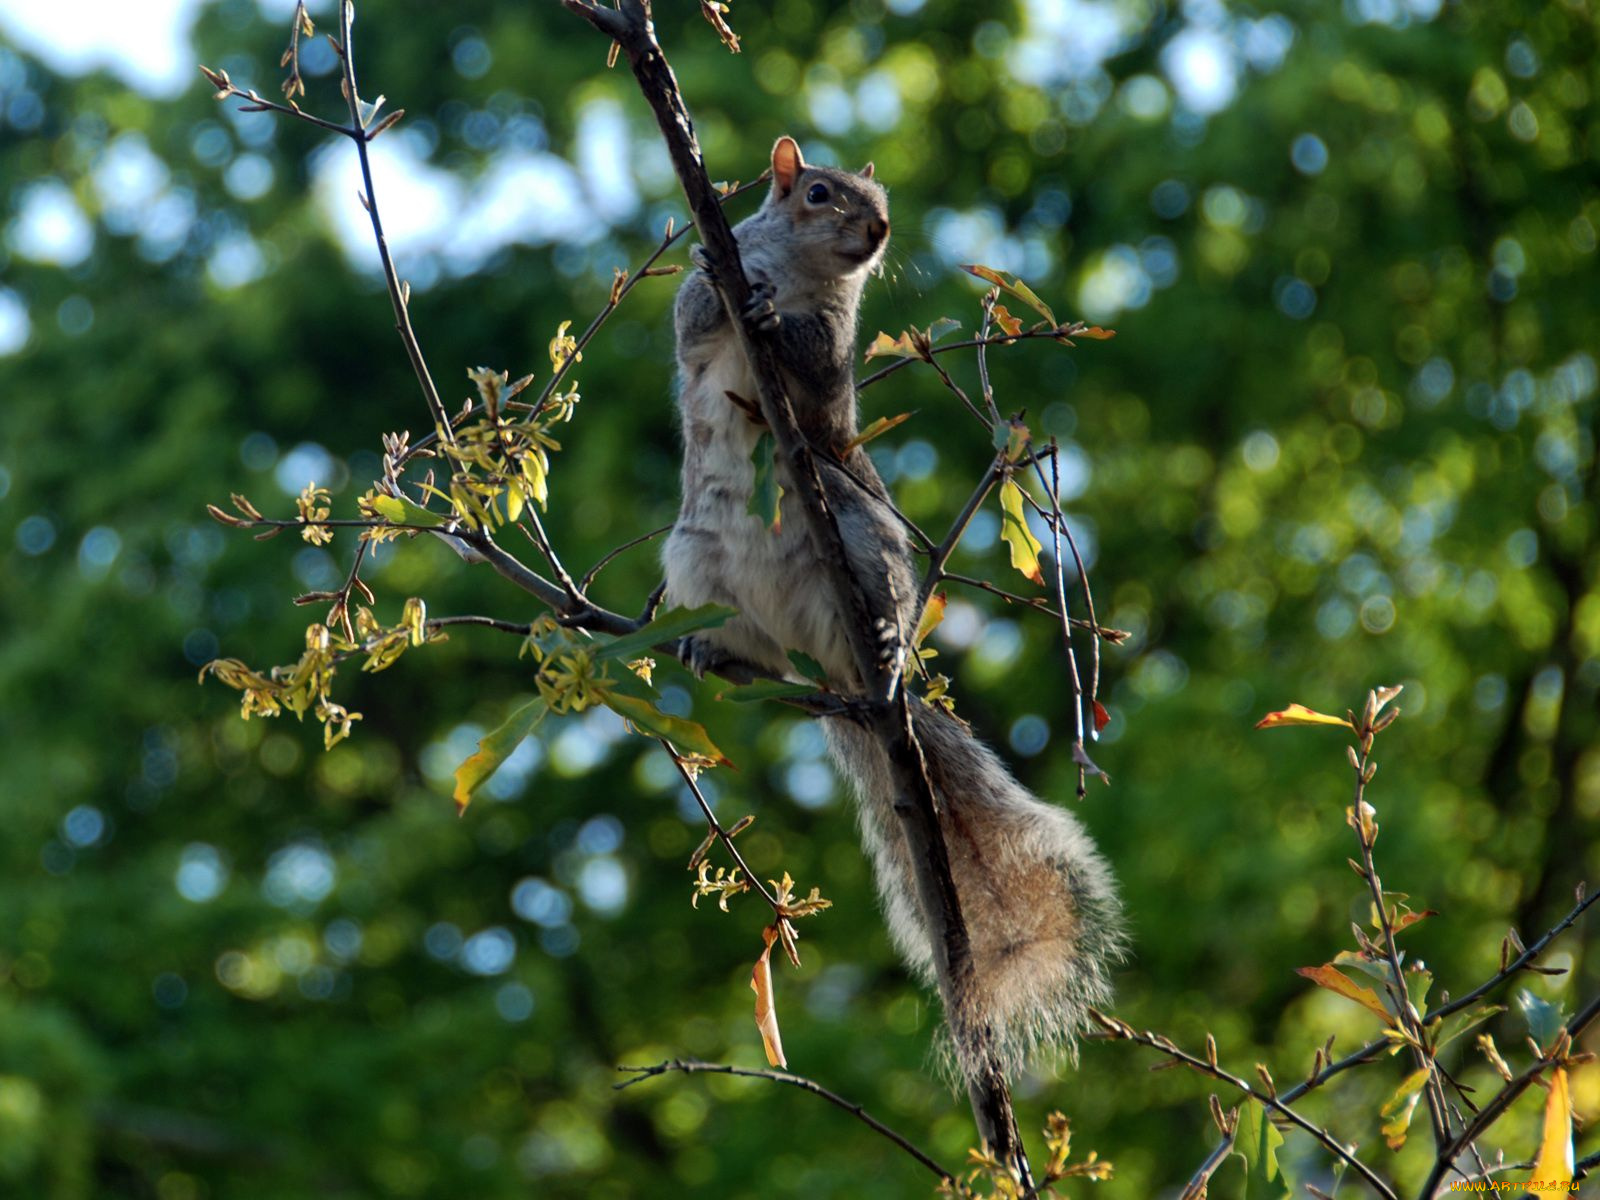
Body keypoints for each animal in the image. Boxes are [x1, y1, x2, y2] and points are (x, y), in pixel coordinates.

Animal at [656, 136, 1120, 1088]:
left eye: (882, 205)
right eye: (818, 193)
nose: (875, 232)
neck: (800, 274)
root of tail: (843, 679)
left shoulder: (834, 367)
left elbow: (818, 374)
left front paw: (769, 317)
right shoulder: (703, 320)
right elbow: (692, 322)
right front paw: (725, 285)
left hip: (857, 525)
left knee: (879, 599)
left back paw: (882, 634)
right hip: (694, 563)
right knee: (762, 651)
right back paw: (714, 655)